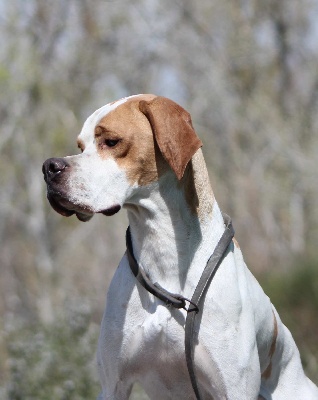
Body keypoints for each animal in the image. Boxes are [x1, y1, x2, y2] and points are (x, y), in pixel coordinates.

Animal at [42, 96, 318, 400]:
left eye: (111, 142)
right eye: (80, 146)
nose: (49, 167)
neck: (163, 251)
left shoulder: (233, 388)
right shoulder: (113, 385)